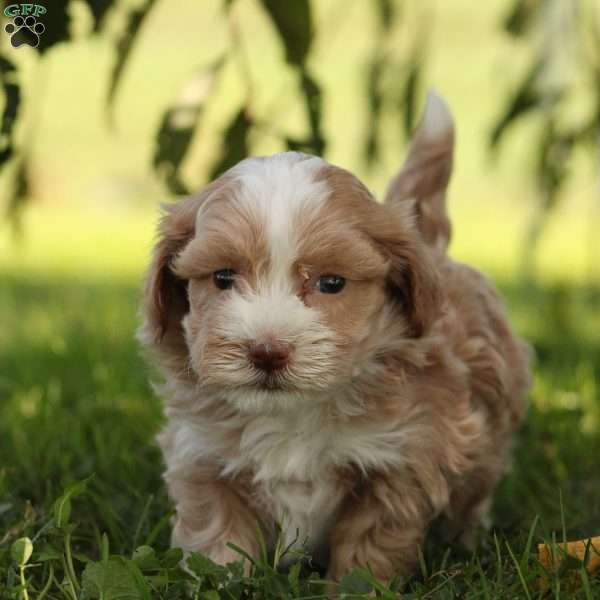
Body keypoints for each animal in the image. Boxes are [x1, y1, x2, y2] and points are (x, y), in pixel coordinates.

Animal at [139, 92, 528, 580]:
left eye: (331, 283)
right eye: (223, 277)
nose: (267, 351)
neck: (294, 412)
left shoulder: (403, 457)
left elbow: (370, 543)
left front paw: (353, 584)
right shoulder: (203, 454)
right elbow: (218, 534)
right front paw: (220, 580)